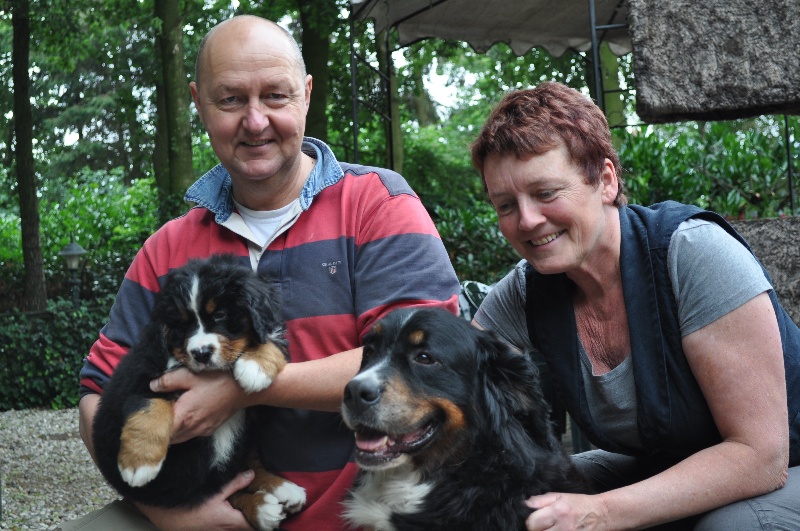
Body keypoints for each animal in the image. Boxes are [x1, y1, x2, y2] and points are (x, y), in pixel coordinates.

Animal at [92, 254, 305, 530]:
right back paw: (263, 507)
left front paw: (255, 367)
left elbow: (270, 342)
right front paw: (139, 464)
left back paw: (284, 490)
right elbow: (149, 408)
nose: (201, 353)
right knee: (223, 489)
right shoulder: (140, 380)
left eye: (221, 315)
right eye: (182, 325)